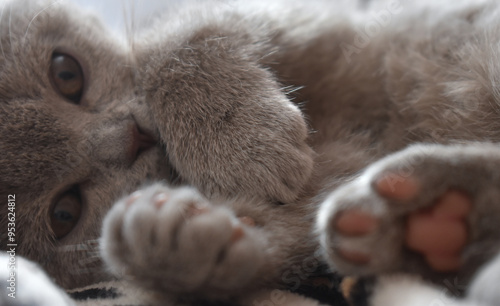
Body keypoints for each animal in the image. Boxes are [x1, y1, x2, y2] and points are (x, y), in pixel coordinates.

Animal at [2, 0, 500, 304]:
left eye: (67, 72)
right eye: (64, 213)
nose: (132, 135)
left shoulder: (319, 20)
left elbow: (173, 43)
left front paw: (243, 144)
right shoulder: (341, 167)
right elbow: (287, 228)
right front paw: (169, 238)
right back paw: (433, 218)